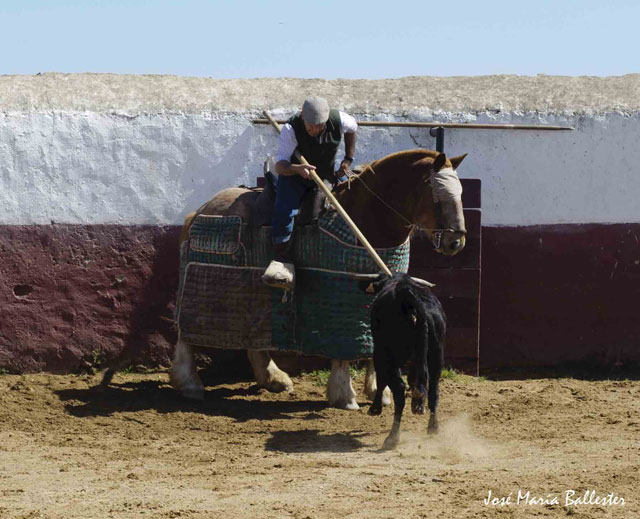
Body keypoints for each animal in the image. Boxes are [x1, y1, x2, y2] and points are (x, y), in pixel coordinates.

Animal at [172, 148, 468, 408]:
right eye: (438, 195)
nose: (456, 242)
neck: (363, 222)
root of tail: (198, 211)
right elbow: (343, 351)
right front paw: (344, 395)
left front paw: (378, 391)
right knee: (185, 331)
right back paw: (189, 383)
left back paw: (274, 378)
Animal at [364, 274, 444, 448]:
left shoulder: (380, 354)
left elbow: (381, 381)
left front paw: (375, 408)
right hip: (436, 355)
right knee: (432, 388)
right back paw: (431, 424)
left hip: (386, 355)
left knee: (399, 390)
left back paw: (392, 437)